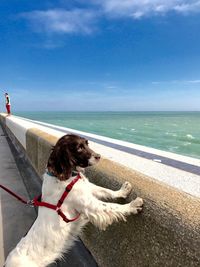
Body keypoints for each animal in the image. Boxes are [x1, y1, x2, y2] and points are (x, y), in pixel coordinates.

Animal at [5, 135, 144, 266]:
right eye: (79, 148)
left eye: (87, 144)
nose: (98, 156)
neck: (65, 176)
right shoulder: (89, 204)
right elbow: (111, 206)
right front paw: (133, 205)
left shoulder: (88, 188)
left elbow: (106, 191)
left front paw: (123, 191)